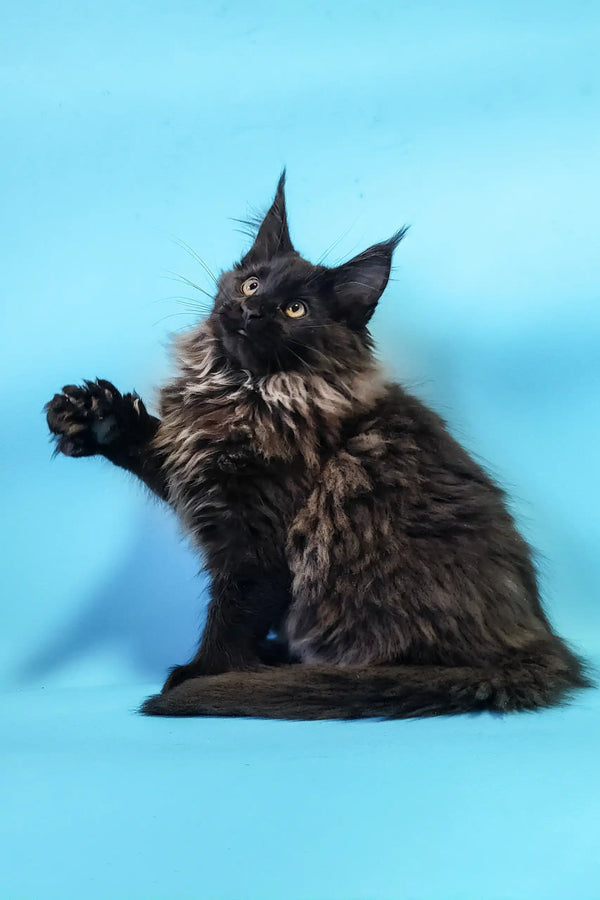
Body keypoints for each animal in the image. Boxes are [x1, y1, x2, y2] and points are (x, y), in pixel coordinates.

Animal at [45, 172, 592, 720]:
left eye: (294, 309)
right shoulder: (194, 465)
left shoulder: (258, 538)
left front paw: (200, 674)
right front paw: (95, 418)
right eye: (251, 283)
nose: (250, 310)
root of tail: (539, 643)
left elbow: (232, 617)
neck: (243, 390)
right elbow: (153, 443)